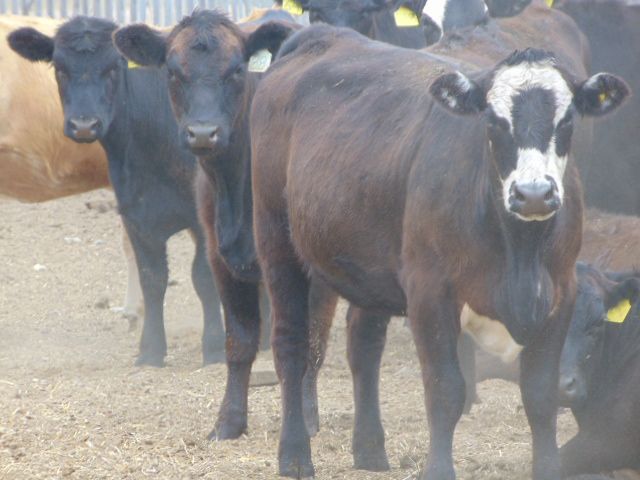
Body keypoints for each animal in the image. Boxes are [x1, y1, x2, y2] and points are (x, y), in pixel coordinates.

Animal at [8, 16, 226, 367]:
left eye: (113, 67)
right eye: (59, 68)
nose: (84, 125)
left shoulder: (203, 216)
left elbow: (204, 277)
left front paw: (215, 349)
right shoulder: (136, 216)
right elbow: (153, 278)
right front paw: (150, 351)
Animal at [249, 22, 628, 479]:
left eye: (566, 119)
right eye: (493, 120)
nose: (533, 193)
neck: (519, 250)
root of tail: (318, 35)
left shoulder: (560, 294)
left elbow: (540, 395)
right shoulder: (430, 294)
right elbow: (446, 390)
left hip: (370, 267)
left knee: (364, 347)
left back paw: (370, 449)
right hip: (276, 240)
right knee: (291, 344)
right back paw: (294, 454)